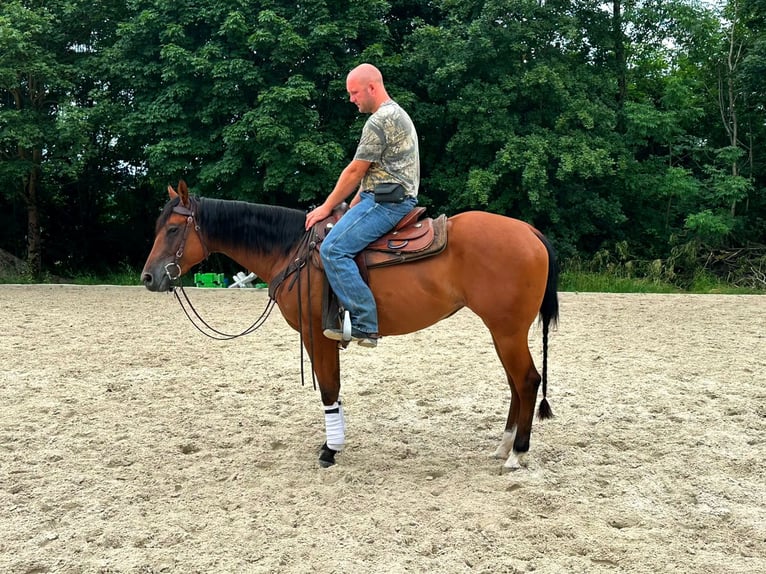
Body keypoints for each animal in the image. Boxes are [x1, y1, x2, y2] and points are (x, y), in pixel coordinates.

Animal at [141, 181, 559, 471]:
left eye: (174, 230)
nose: (149, 277)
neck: (292, 251)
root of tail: (530, 232)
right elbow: (335, 389)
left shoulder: (316, 334)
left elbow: (329, 388)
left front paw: (330, 450)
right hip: (503, 332)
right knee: (516, 384)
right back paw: (503, 446)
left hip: (507, 331)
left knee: (527, 381)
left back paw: (517, 454)